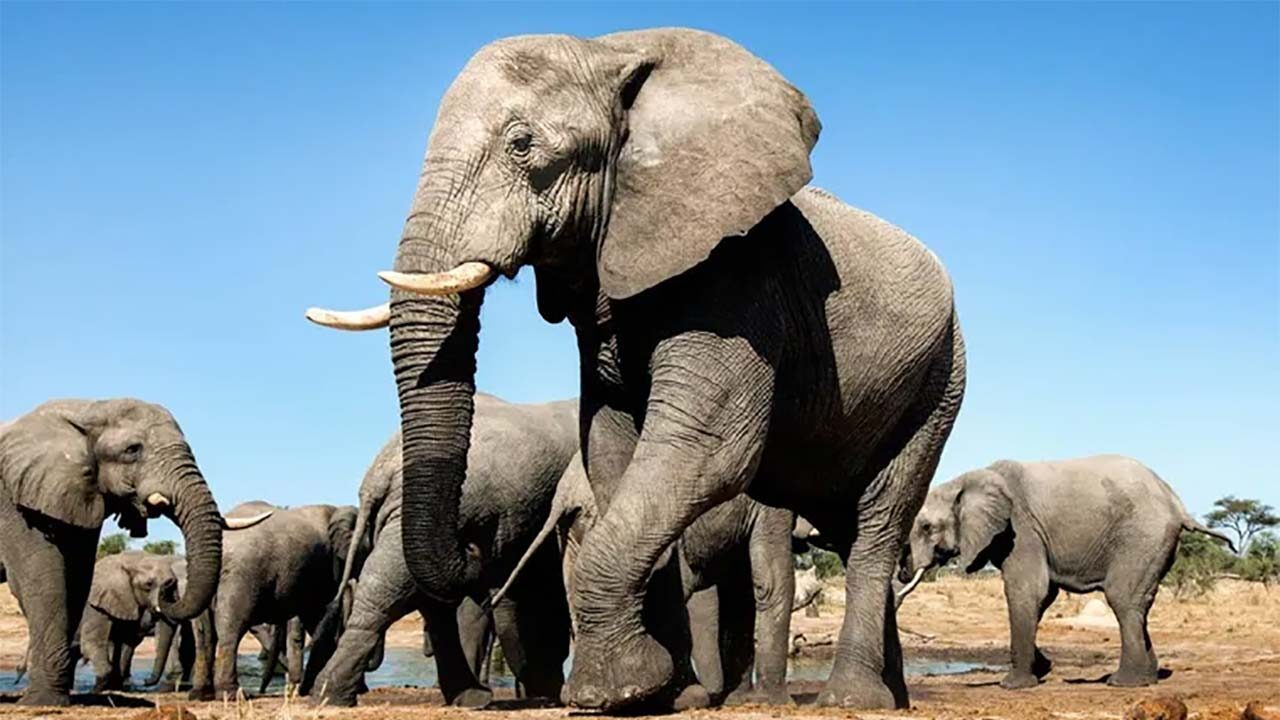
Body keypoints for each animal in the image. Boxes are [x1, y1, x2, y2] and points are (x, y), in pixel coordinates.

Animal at [0, 399, 270, 705]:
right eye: (132, 450)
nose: (169, 590)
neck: (86, 408)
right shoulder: (16, 502)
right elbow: (42, 582)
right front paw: (43, 701)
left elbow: (77, 579)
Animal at [187, 501, 360, 700]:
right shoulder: (327, 569)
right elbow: (318, 617)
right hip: (243, 575)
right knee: (231, 627)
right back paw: (231, 695)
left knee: (204, 634)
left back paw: (199, 694)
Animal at [495, 451, 797, 706]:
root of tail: (567, 495)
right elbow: (769, 581)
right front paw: (777, 703)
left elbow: (741, 591)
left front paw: (737, 699)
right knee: (670, 594)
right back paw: (683, 697)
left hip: (574, 532)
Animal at [899, 455, 1236, 690]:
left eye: (927, 527)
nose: (904, 570)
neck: (964, 480)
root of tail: (1177, 505)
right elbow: (1043, 596)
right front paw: (1043, 667)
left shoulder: (1020, 529)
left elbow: (1027, 591)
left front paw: (1014, 685)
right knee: (1139, 603)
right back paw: (1148, 677)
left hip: (1141, 536)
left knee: (1122, 598)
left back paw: (1124, 683)